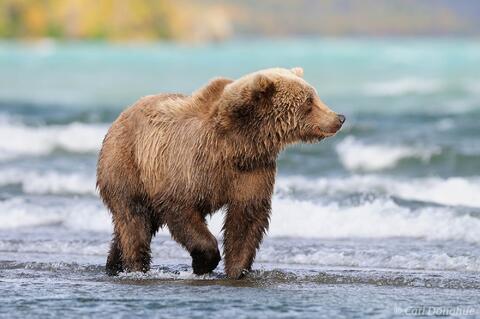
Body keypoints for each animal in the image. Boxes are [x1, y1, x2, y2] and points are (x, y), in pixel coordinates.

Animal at [96, 68, 344, 280]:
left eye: (314, 96)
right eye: (309, 101)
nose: (339, 118)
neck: (237, 143)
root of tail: (121, 116)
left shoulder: (252, 171)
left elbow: (246, 218)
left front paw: (236, 270)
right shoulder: (189, 166)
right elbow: (181, 210)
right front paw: (203, 263)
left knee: (131, 226)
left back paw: (113, 264)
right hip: (127, 166)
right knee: (134, 221)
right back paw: (136, 267)